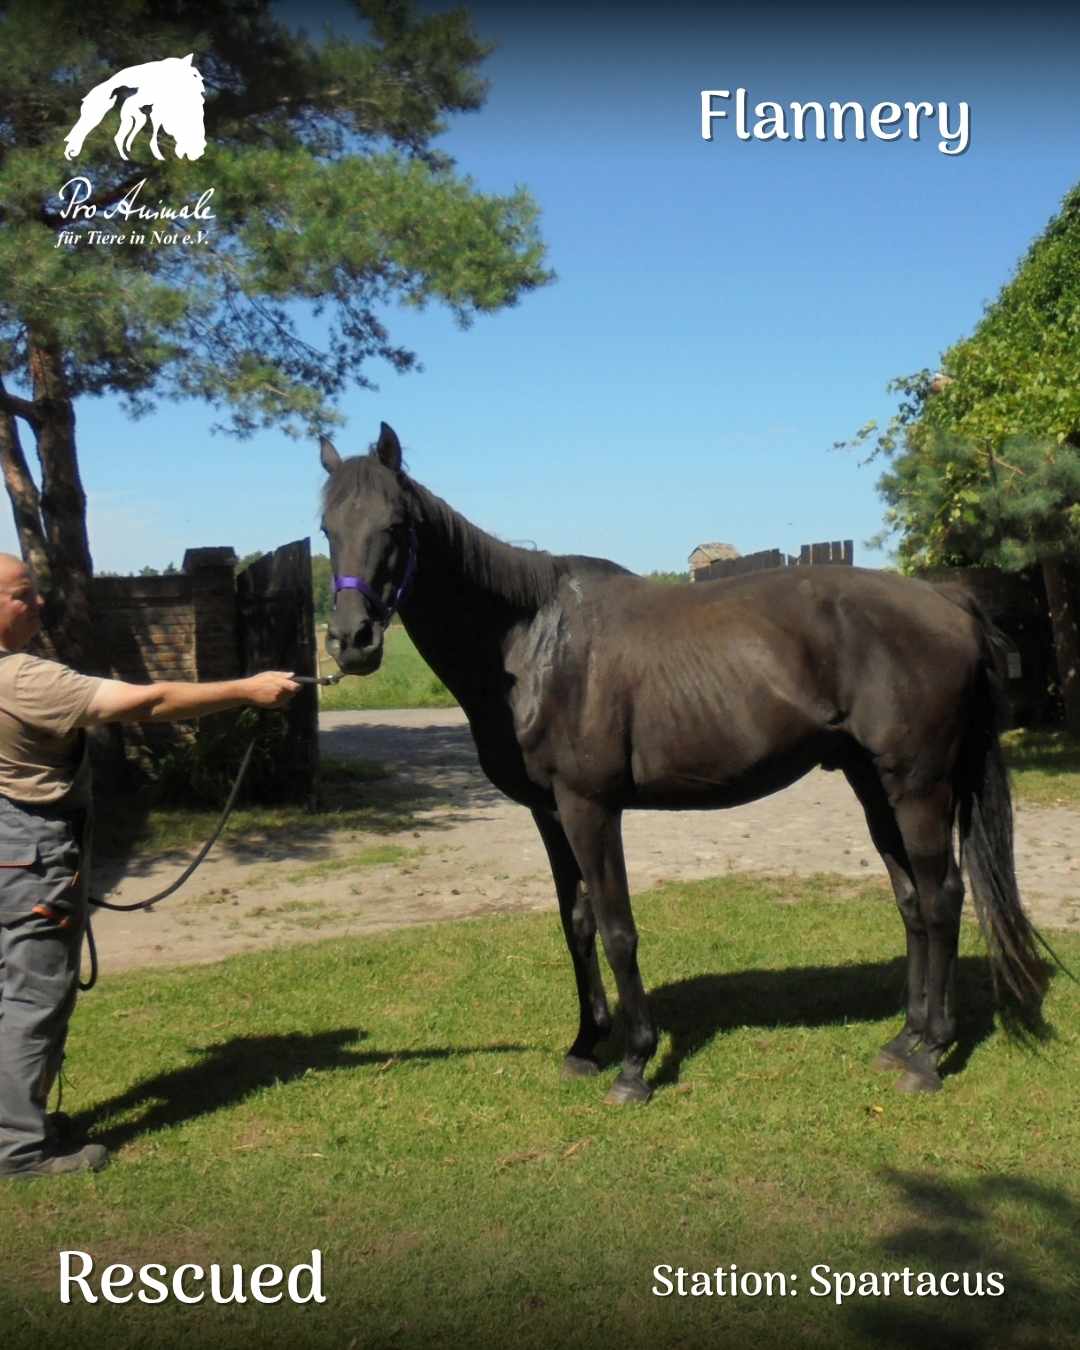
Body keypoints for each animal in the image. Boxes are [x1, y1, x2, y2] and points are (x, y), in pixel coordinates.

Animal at [319, 423, 1049, 1102]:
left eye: (395, 525)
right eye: (326, 529)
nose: (353, 641)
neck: (532, 642)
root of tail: (948, 602)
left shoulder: (589, 808)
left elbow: (618, 929)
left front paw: (635, 1064)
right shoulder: (549, 815)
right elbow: (577, 925)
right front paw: (585, 1046)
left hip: (920, 786)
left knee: (943, 895)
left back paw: (931, 1057)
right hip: (873, 784)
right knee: (912, 902)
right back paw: (905, 1040)